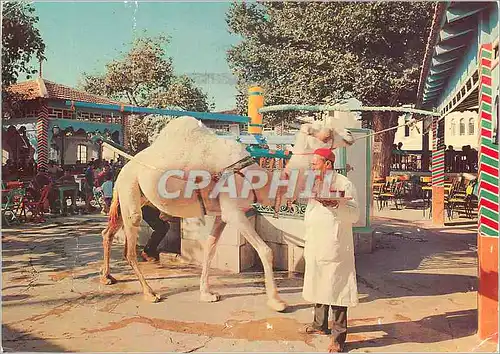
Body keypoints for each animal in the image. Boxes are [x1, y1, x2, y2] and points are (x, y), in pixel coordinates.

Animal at [99, 115, 354, 312]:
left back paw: (107, 276)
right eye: (326, 132)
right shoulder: (234, 211)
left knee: (107, 232)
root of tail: (124, 168)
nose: (351, 134)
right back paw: (150, 293)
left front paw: (206, 293)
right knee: (129, 248)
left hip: (130, 195)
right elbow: (266, 251)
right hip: (130, 191)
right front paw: (277, 301)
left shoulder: (222, 214)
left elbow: (210, 249)